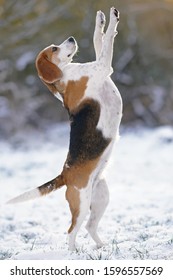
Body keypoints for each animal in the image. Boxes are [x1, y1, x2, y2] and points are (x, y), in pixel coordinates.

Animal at [7, 7, 121, 250]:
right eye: (54, 49)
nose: (70, 38)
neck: (62, 76)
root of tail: (65, 174)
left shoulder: (101, 66)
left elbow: (98, 39)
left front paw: (100, 20)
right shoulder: (103, 66)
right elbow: (106, 41)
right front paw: (112, 20)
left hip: (101, 196)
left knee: (89, 227)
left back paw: (101, 247)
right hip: (81, 204)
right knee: (71, 231)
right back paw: (74, 252)